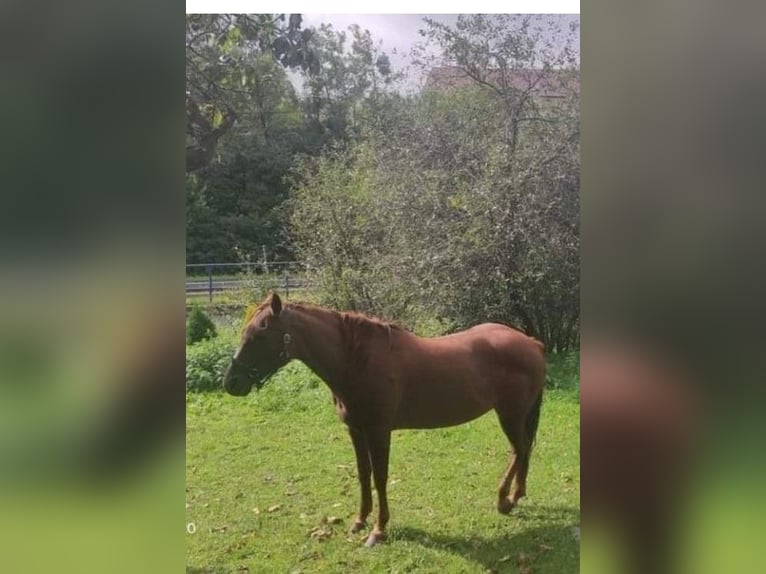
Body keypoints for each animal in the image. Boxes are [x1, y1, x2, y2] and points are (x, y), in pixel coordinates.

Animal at [222, 292, 544, 548]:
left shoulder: (379, 431)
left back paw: (504, 500)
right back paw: (517, 495)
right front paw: (359, 520)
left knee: (519, 449)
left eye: (260, 334)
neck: (356, 360)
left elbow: (380, 477)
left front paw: (378, 530)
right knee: (524, 450)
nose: (231, 382)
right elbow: (363, 474)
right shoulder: (356, 430)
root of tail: (532, 342)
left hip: (510, 414)